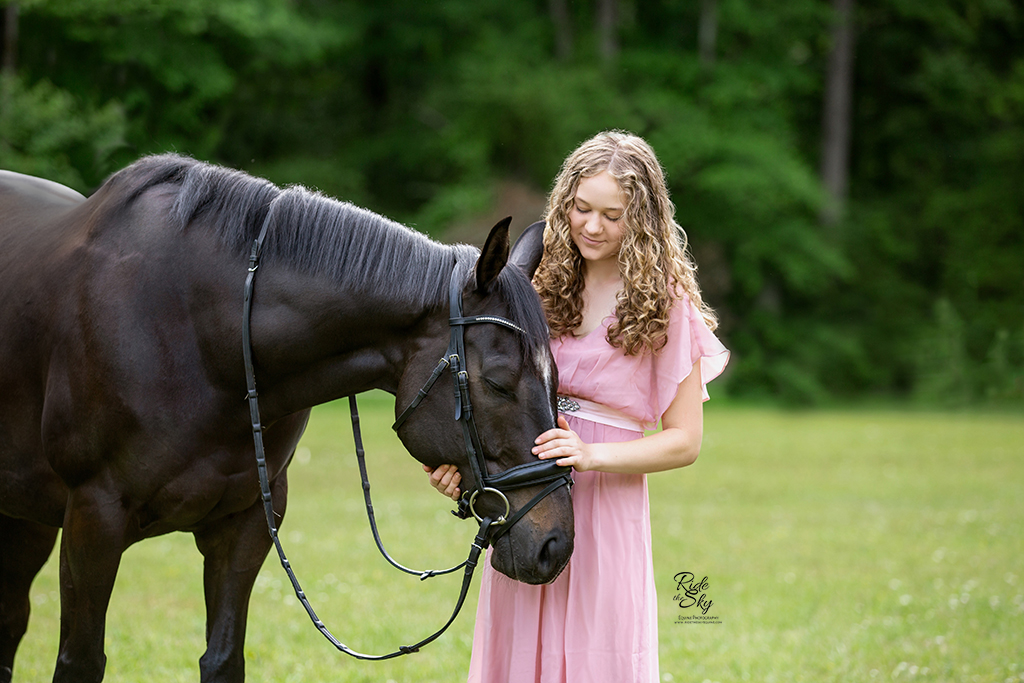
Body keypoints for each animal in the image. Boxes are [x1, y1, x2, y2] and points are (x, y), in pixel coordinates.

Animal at [0, 156, 577, 683]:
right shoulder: (93, 518)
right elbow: (80, 662)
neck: (202, 337)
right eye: (498, 382)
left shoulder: (248, 523)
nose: (557, 546)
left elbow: (223, 658)